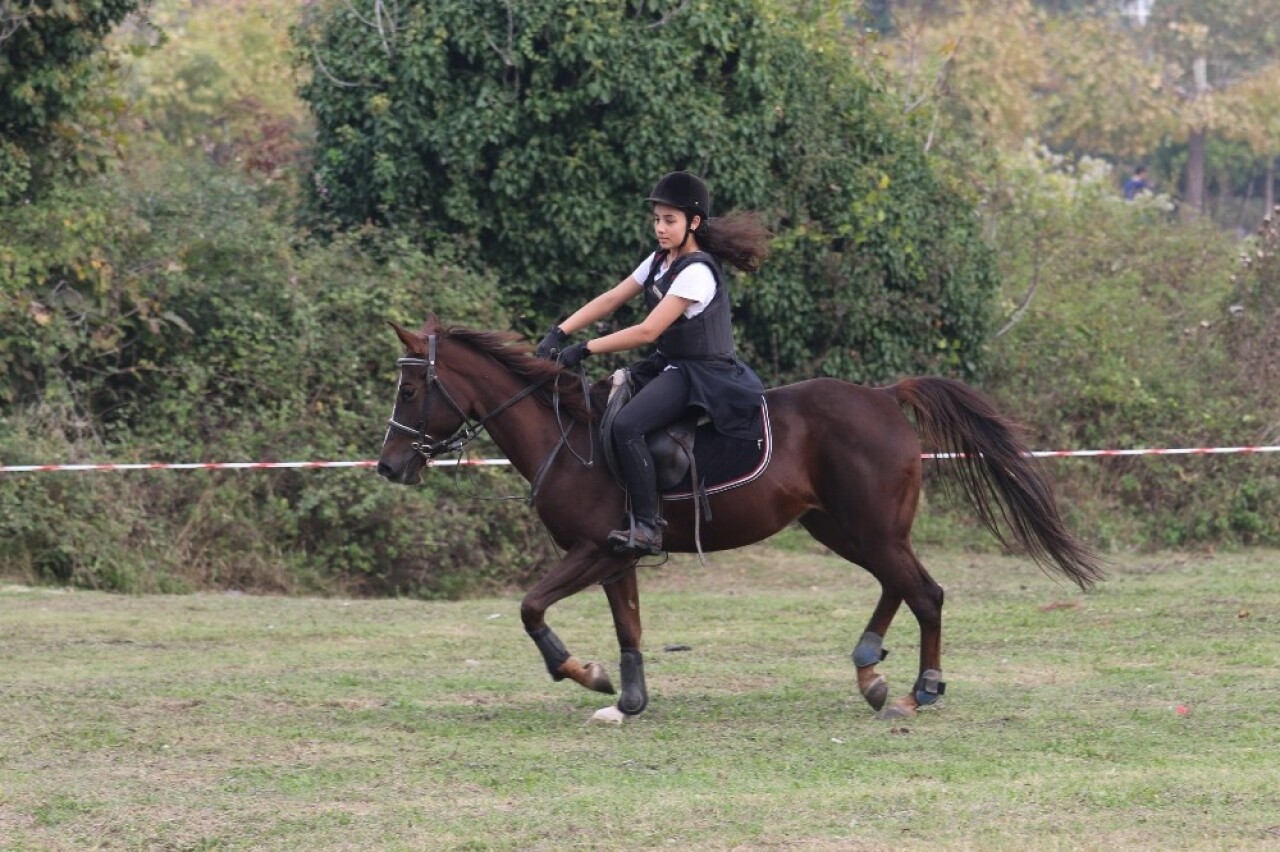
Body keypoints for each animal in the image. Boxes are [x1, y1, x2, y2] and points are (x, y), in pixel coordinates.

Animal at [376, 314, 1100, 721]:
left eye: (411, 390)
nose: (388, 466)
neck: (569, 434)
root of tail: (883, 396)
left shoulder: (595, 549)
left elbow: (531, 608)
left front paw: (583, 672)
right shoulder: (616, 555)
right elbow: (628, 626)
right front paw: (627, 698)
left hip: (868, 528)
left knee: (925, 591)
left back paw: (920, 688)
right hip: (842, 528)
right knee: (900, 583)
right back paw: (870, 668)